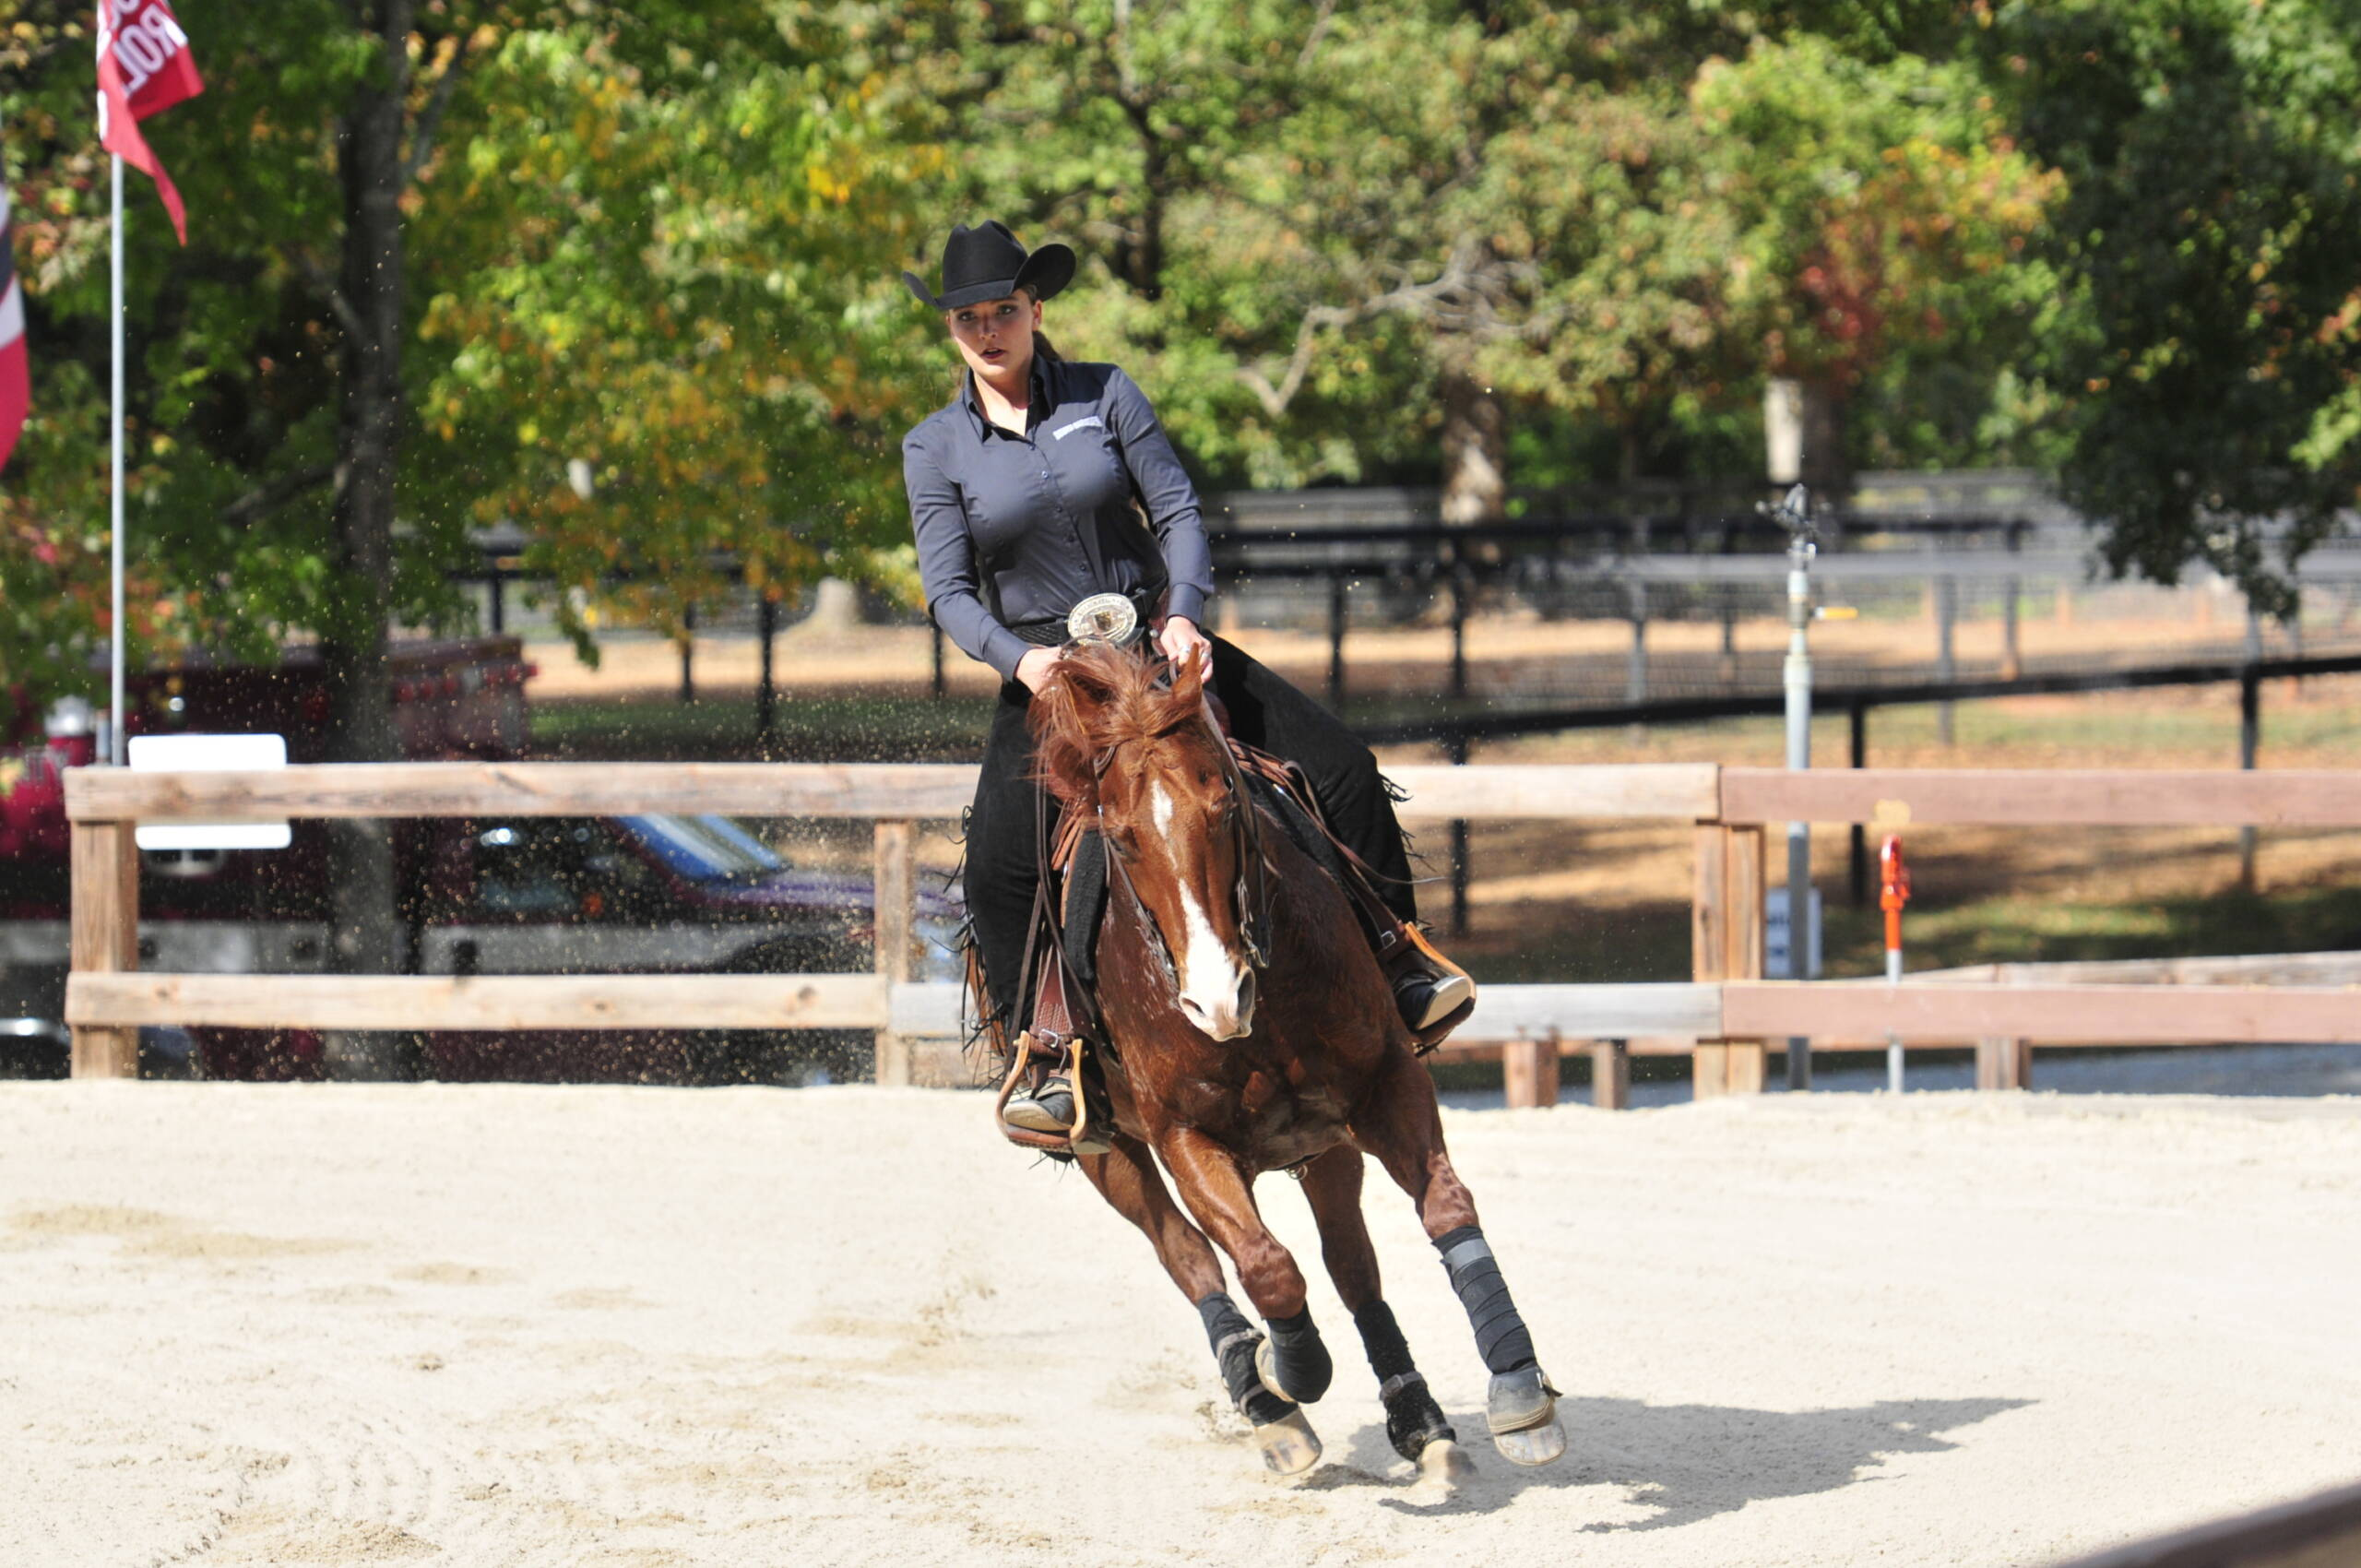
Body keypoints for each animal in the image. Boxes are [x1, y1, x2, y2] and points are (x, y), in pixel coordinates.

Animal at [1025, 642, 1558, 1473]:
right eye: (1121, 837)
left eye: (1224, 807)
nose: (1215, 1000)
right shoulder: (1184, 1138)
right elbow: (1265, 1268)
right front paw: (1288, 1369)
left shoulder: (1385, 1084)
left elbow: (1445, 1208)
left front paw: (1518, 1388)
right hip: (1103, 1149)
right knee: (1189, 1257)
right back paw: (1266, 1401)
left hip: (1323, 1142)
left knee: (1349, 1262)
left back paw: (1418, 1416)